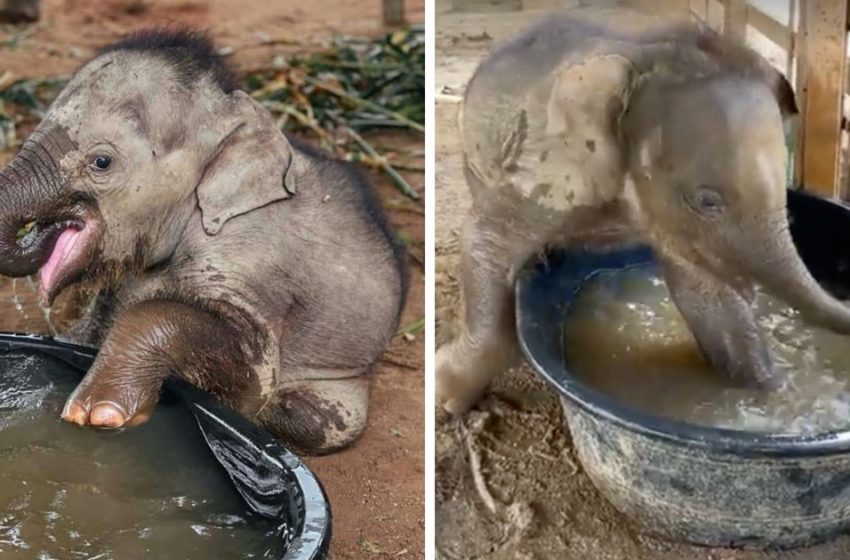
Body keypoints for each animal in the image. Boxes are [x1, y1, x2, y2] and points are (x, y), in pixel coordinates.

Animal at [434, 8, 848, 416]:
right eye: (707, 201)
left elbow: (708, 297)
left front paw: (769, 399)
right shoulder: (548, 169)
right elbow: (484, 241)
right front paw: (449, 397)